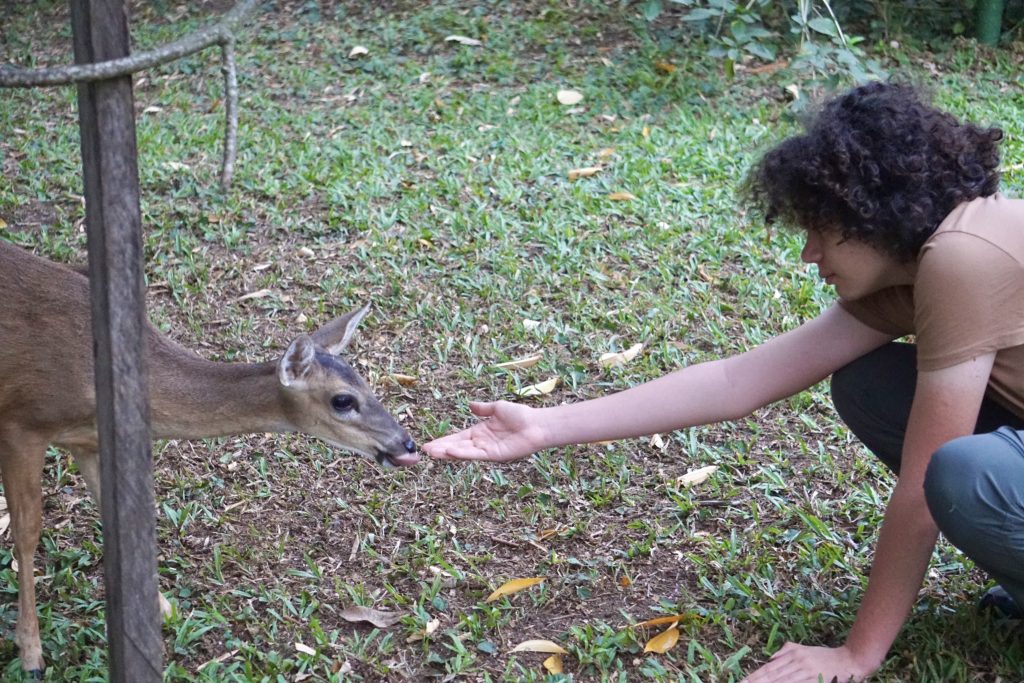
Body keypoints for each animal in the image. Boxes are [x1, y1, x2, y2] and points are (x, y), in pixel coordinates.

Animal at [0, 239, 419, 671]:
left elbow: (117, 518)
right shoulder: (21, 423)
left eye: (367, 383)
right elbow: (27, 533)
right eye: (342, 400)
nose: (406, 444)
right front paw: (30, 652)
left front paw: (163, 609)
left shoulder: (88, 439)